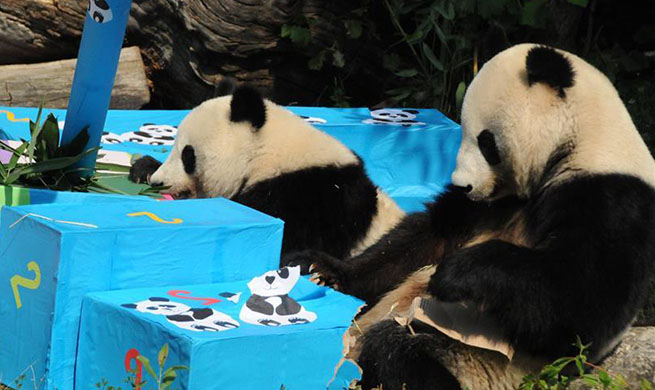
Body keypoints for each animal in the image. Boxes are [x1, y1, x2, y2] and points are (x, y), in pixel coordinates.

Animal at [294, 44, 655, 388]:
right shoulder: (487, 205)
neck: (582, 142)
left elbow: (583, 304)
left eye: (486, 141)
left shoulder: (611, 198)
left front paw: (456, 273)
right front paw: (322, 268)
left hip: (478, 360)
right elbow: (421, 240)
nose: (461, 184)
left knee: (397, 350)